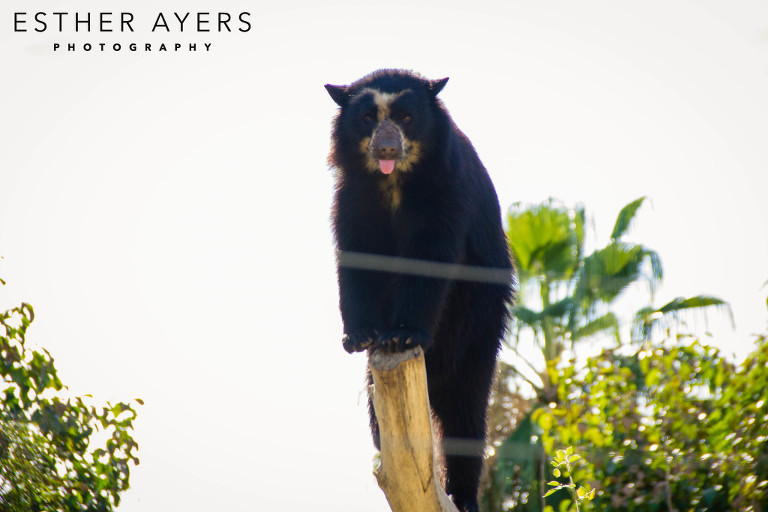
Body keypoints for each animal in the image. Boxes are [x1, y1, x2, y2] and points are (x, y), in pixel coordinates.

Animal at [326, 69, 514, 512]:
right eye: (368, 118)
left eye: (407, 118)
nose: (387, 147)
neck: (395, 181)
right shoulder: (352, 197)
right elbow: (357, 258)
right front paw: (358, 336)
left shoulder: (447, 192)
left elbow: (430, 258)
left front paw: (402, 334)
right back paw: (382, 440)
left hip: (479, 315)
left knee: (465, 403)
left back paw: (464, 496)